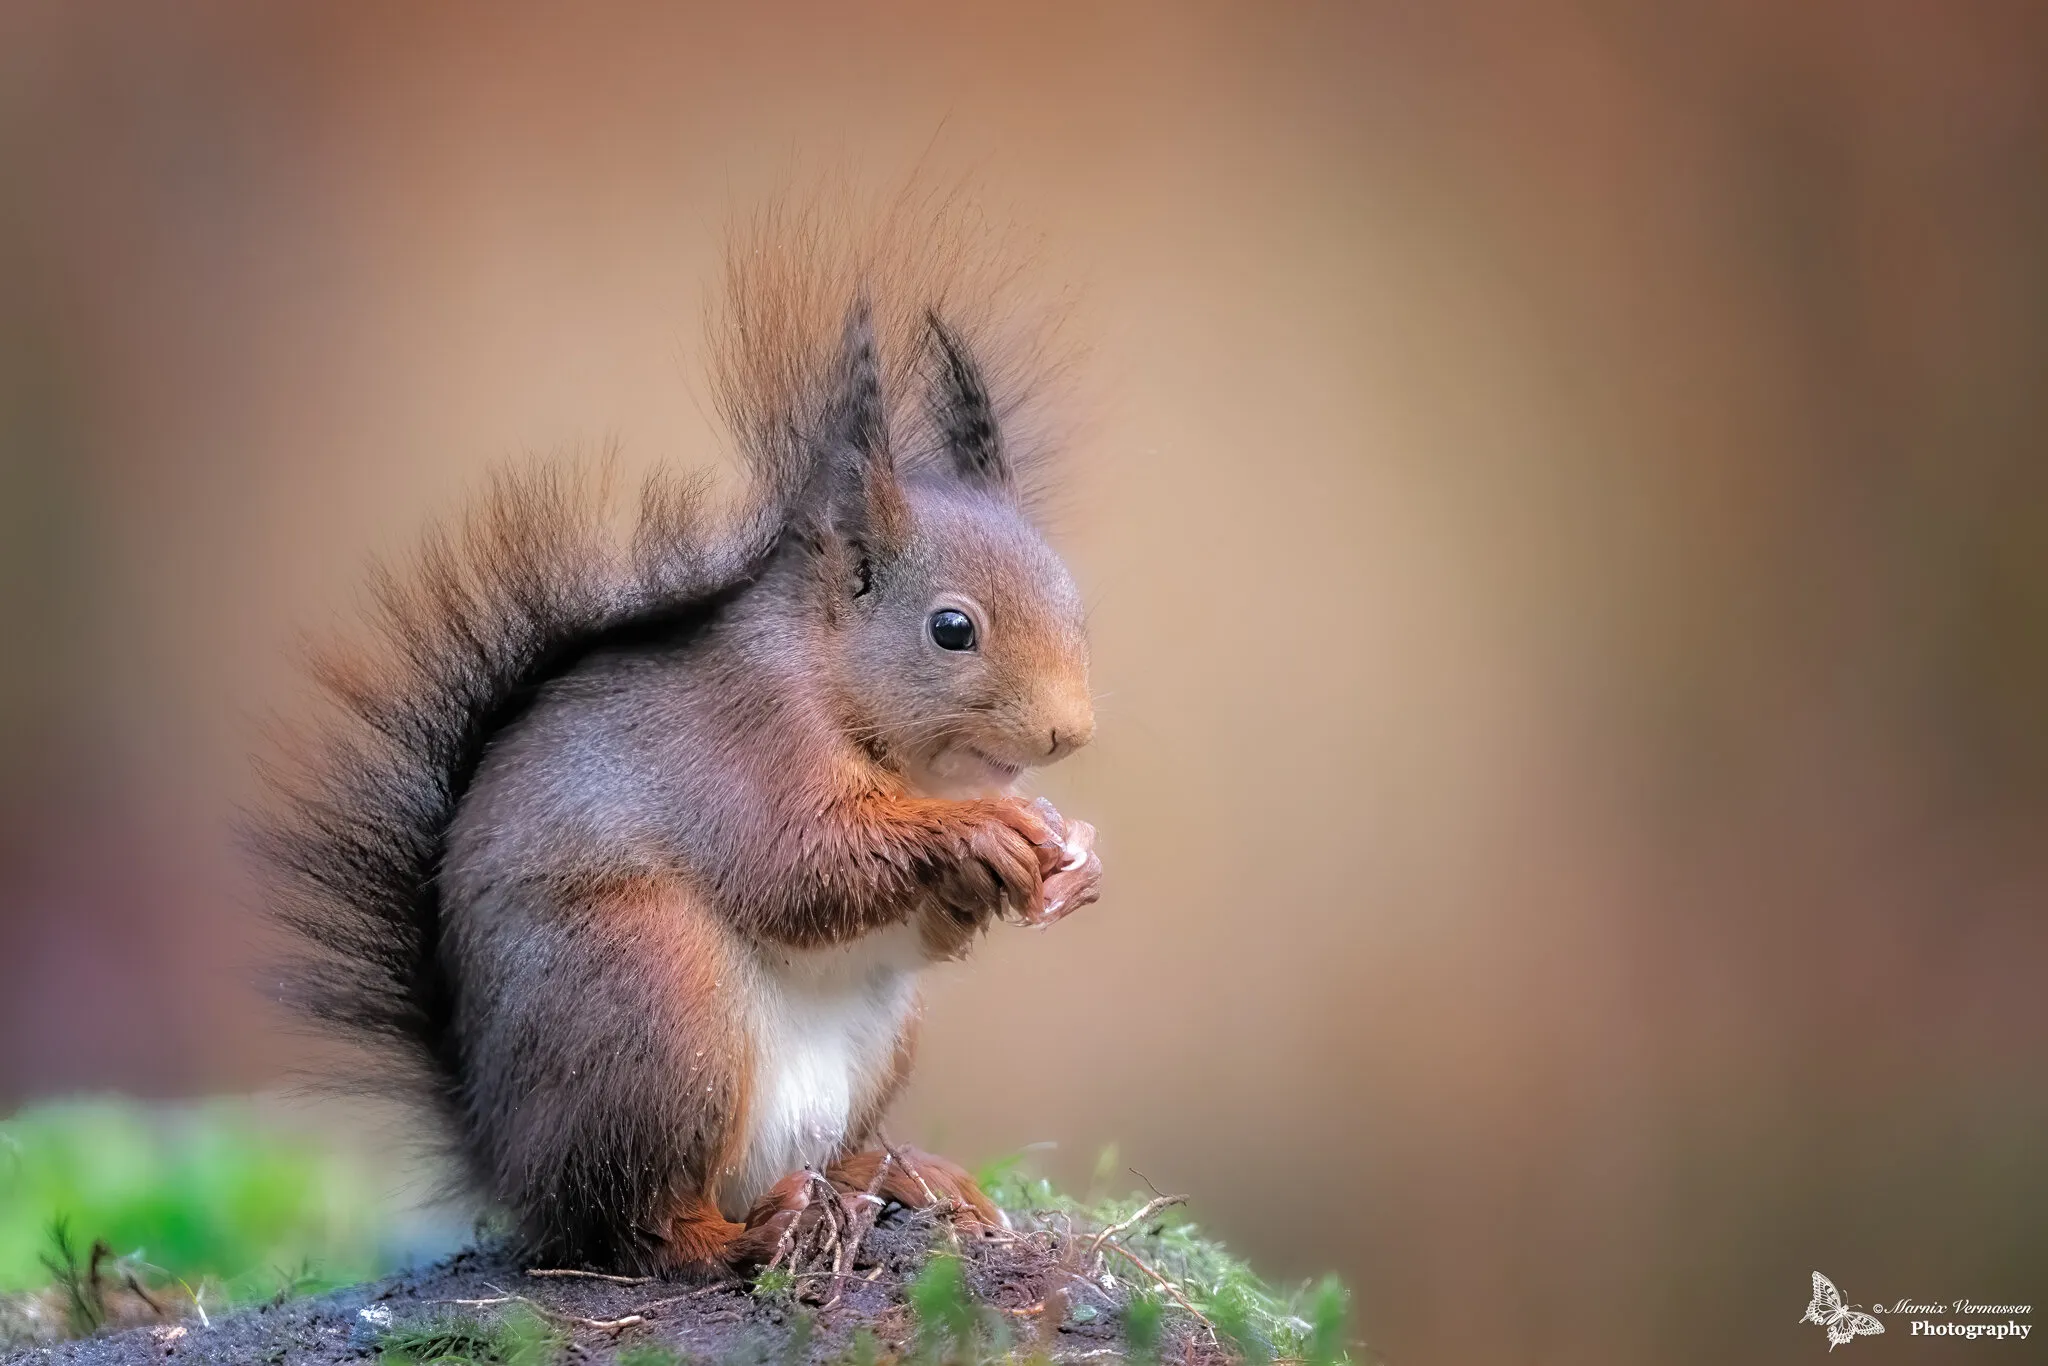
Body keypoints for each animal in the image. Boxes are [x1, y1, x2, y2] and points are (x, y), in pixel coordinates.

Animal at [252, 198, 1103, 1275]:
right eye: (952, 629)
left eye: (1071, 597)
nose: (1069, 731)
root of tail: (505, 1156)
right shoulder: (748, 742)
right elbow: (798, 865)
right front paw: (986, 830)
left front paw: (1070, 855)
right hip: (653, 1006)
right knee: (634, 1219)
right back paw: (742, 1236)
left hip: (868, 1042)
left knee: (810, 1156)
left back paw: (899, 1175)